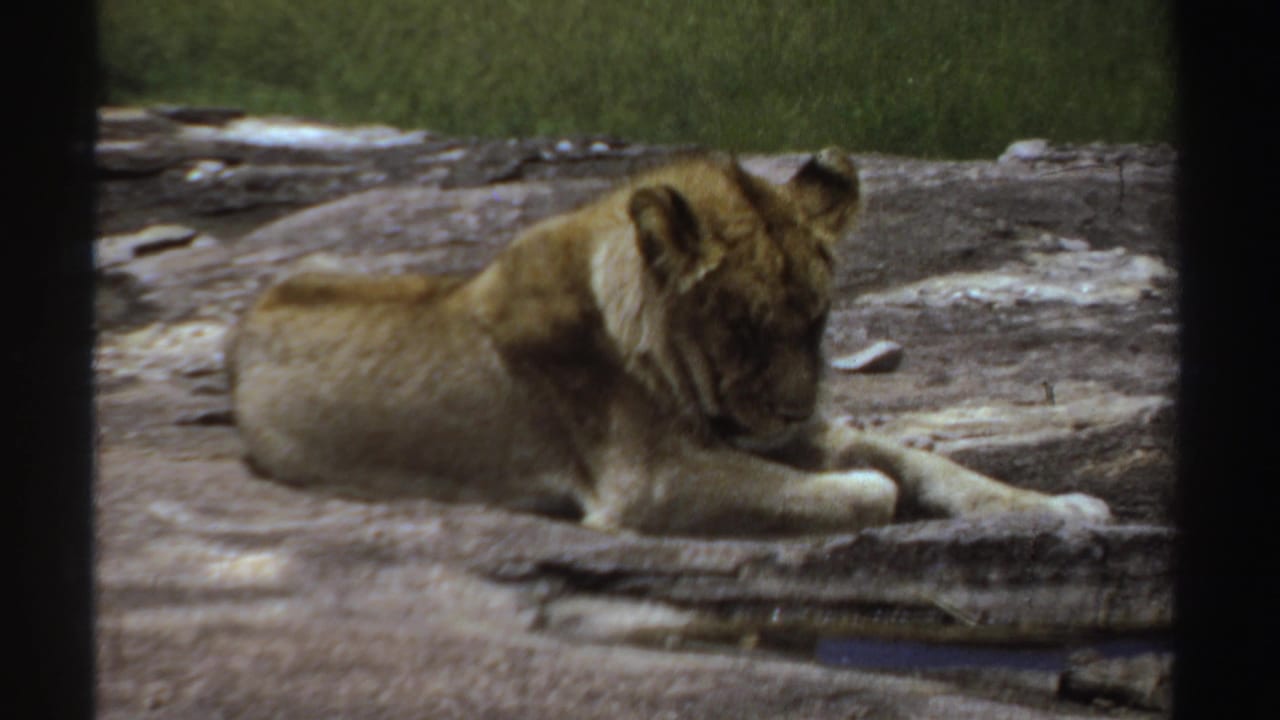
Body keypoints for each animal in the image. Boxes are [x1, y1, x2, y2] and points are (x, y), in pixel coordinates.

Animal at [229, 148, 1110, 535]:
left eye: (817, 322)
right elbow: (866, 486)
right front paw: (866, 491)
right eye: (744, 328)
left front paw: (1064, 506)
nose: (794, 410)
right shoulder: (648, 481)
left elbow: (926, 461)